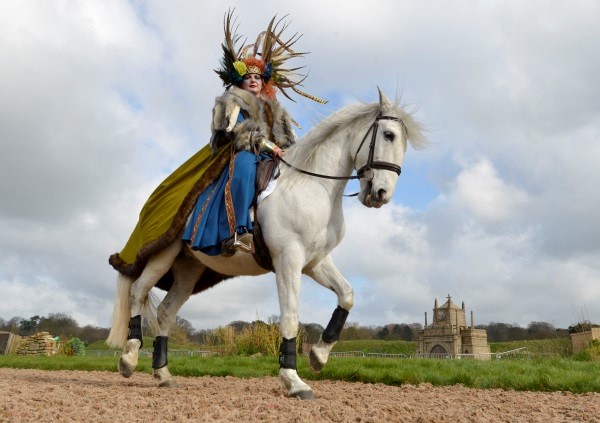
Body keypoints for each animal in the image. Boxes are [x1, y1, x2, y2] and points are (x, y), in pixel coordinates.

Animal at [108, 87, 426, 400]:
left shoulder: (315, 262)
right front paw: (294, 381)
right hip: (163, 254)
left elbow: (347, 295)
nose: (382, 194)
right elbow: (291, 316)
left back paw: (162, 374)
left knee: (165, 312)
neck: (311, 187)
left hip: (189, 270)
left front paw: (319, 356)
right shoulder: (289, 260)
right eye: (389, 135)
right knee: (137, 292)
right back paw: (128, 359)